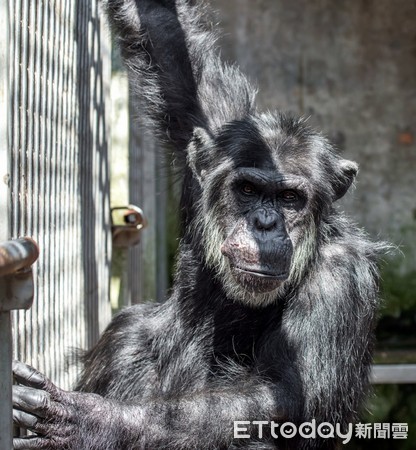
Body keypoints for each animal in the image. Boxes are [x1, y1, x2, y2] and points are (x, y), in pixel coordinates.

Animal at [12, 0, 386, 450]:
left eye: (289, 198)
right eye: (248, 189)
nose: (265, 222)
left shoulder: (339, 278)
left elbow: (284, 394)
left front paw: (95, 421)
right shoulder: (210, 130)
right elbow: (166, 40)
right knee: (130, 332)